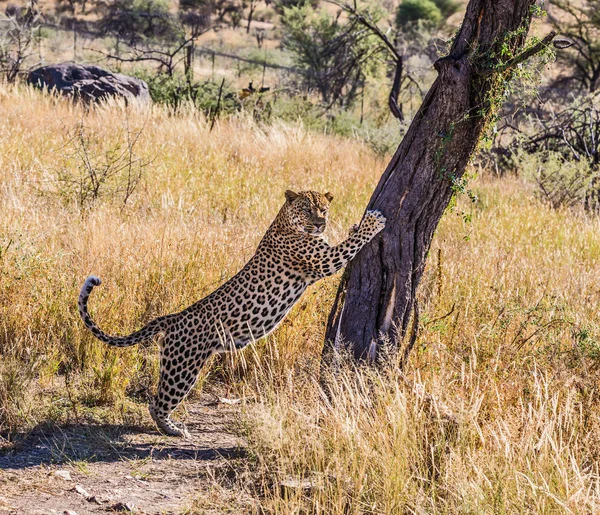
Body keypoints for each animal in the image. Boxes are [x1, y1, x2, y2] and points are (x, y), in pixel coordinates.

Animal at [77, 191, 386, 438]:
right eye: (307, 209)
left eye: (323, 209)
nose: (320, 222)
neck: (285, 222)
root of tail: (174, 317)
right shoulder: (323, 261)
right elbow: (351, 244)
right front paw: (372, 222)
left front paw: (355, 224)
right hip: (183, 367)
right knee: (158, 402)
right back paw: (174, 430)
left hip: (174, 362)